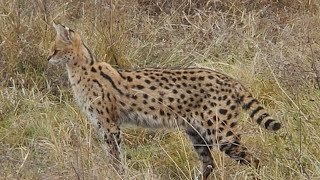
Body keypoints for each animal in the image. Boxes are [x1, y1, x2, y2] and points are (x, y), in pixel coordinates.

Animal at [47, 22, 280, 179]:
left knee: (252, 159)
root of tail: (230, 79)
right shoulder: (107, 126)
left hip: (220, 132)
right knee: (209, 163)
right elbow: (115, 156)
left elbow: (116, 158)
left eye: (56, 49)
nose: (48, 58)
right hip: (195, 132)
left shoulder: (110, 126)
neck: (81, 68)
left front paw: (117, 175)